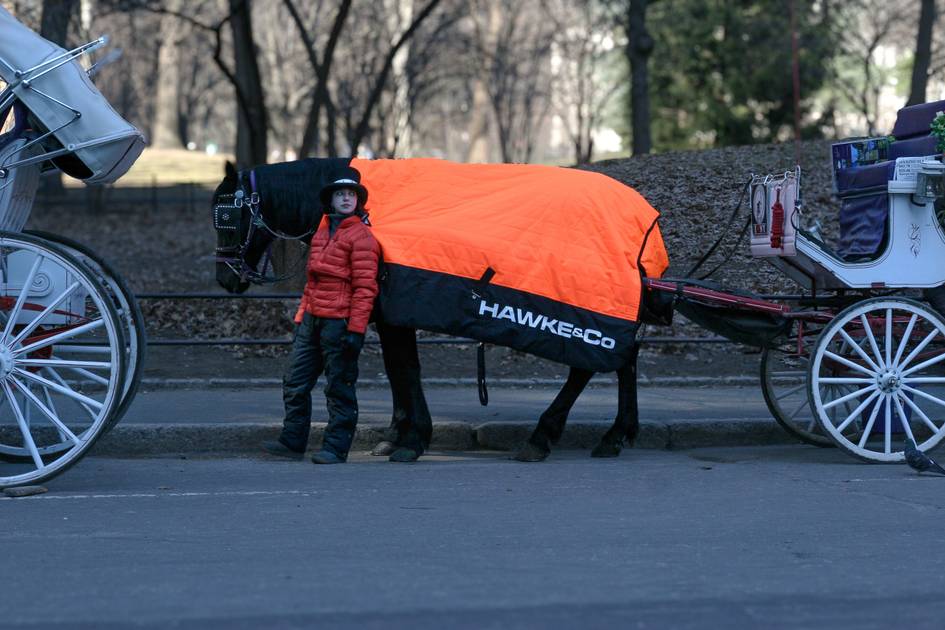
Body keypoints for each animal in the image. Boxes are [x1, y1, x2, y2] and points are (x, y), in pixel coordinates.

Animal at [210, 160, 660, 462]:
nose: (226, 278)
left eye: (226, 214)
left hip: (593, 310)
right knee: (626, 359)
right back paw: (617, 434)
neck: (368, 212)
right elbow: (396, 370)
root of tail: (644, 220)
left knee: (588, 366)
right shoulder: (387, 314)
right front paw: (398, 432)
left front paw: (413, 439)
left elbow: (406, 369)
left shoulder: (393, 312)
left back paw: (542, 436)